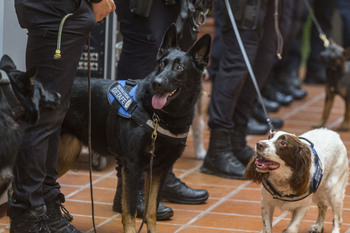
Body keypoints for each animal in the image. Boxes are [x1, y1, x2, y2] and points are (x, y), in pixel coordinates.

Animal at [57, 24, 211, 232]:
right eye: (162, 64)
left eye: (180, 67)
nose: (157, 83)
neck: (160, 116)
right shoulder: (132, 166)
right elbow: (129, 211)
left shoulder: (160, 170)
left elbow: (151, 210)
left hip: (65, 156)